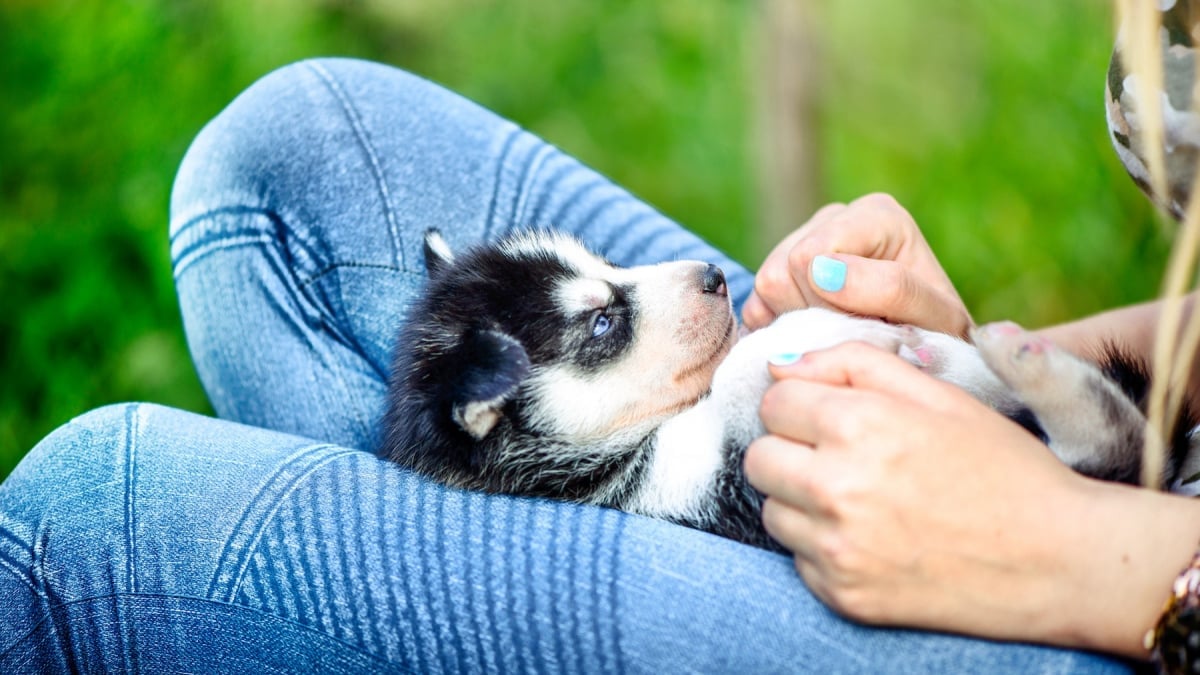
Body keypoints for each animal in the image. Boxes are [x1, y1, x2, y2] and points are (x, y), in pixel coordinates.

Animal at [379, 228, 1195, 550]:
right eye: (604, 322)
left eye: (607, 263)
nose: (714, 274)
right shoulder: (717, 496)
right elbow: (742, 371)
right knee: (1117, 450)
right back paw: (1020, 359)